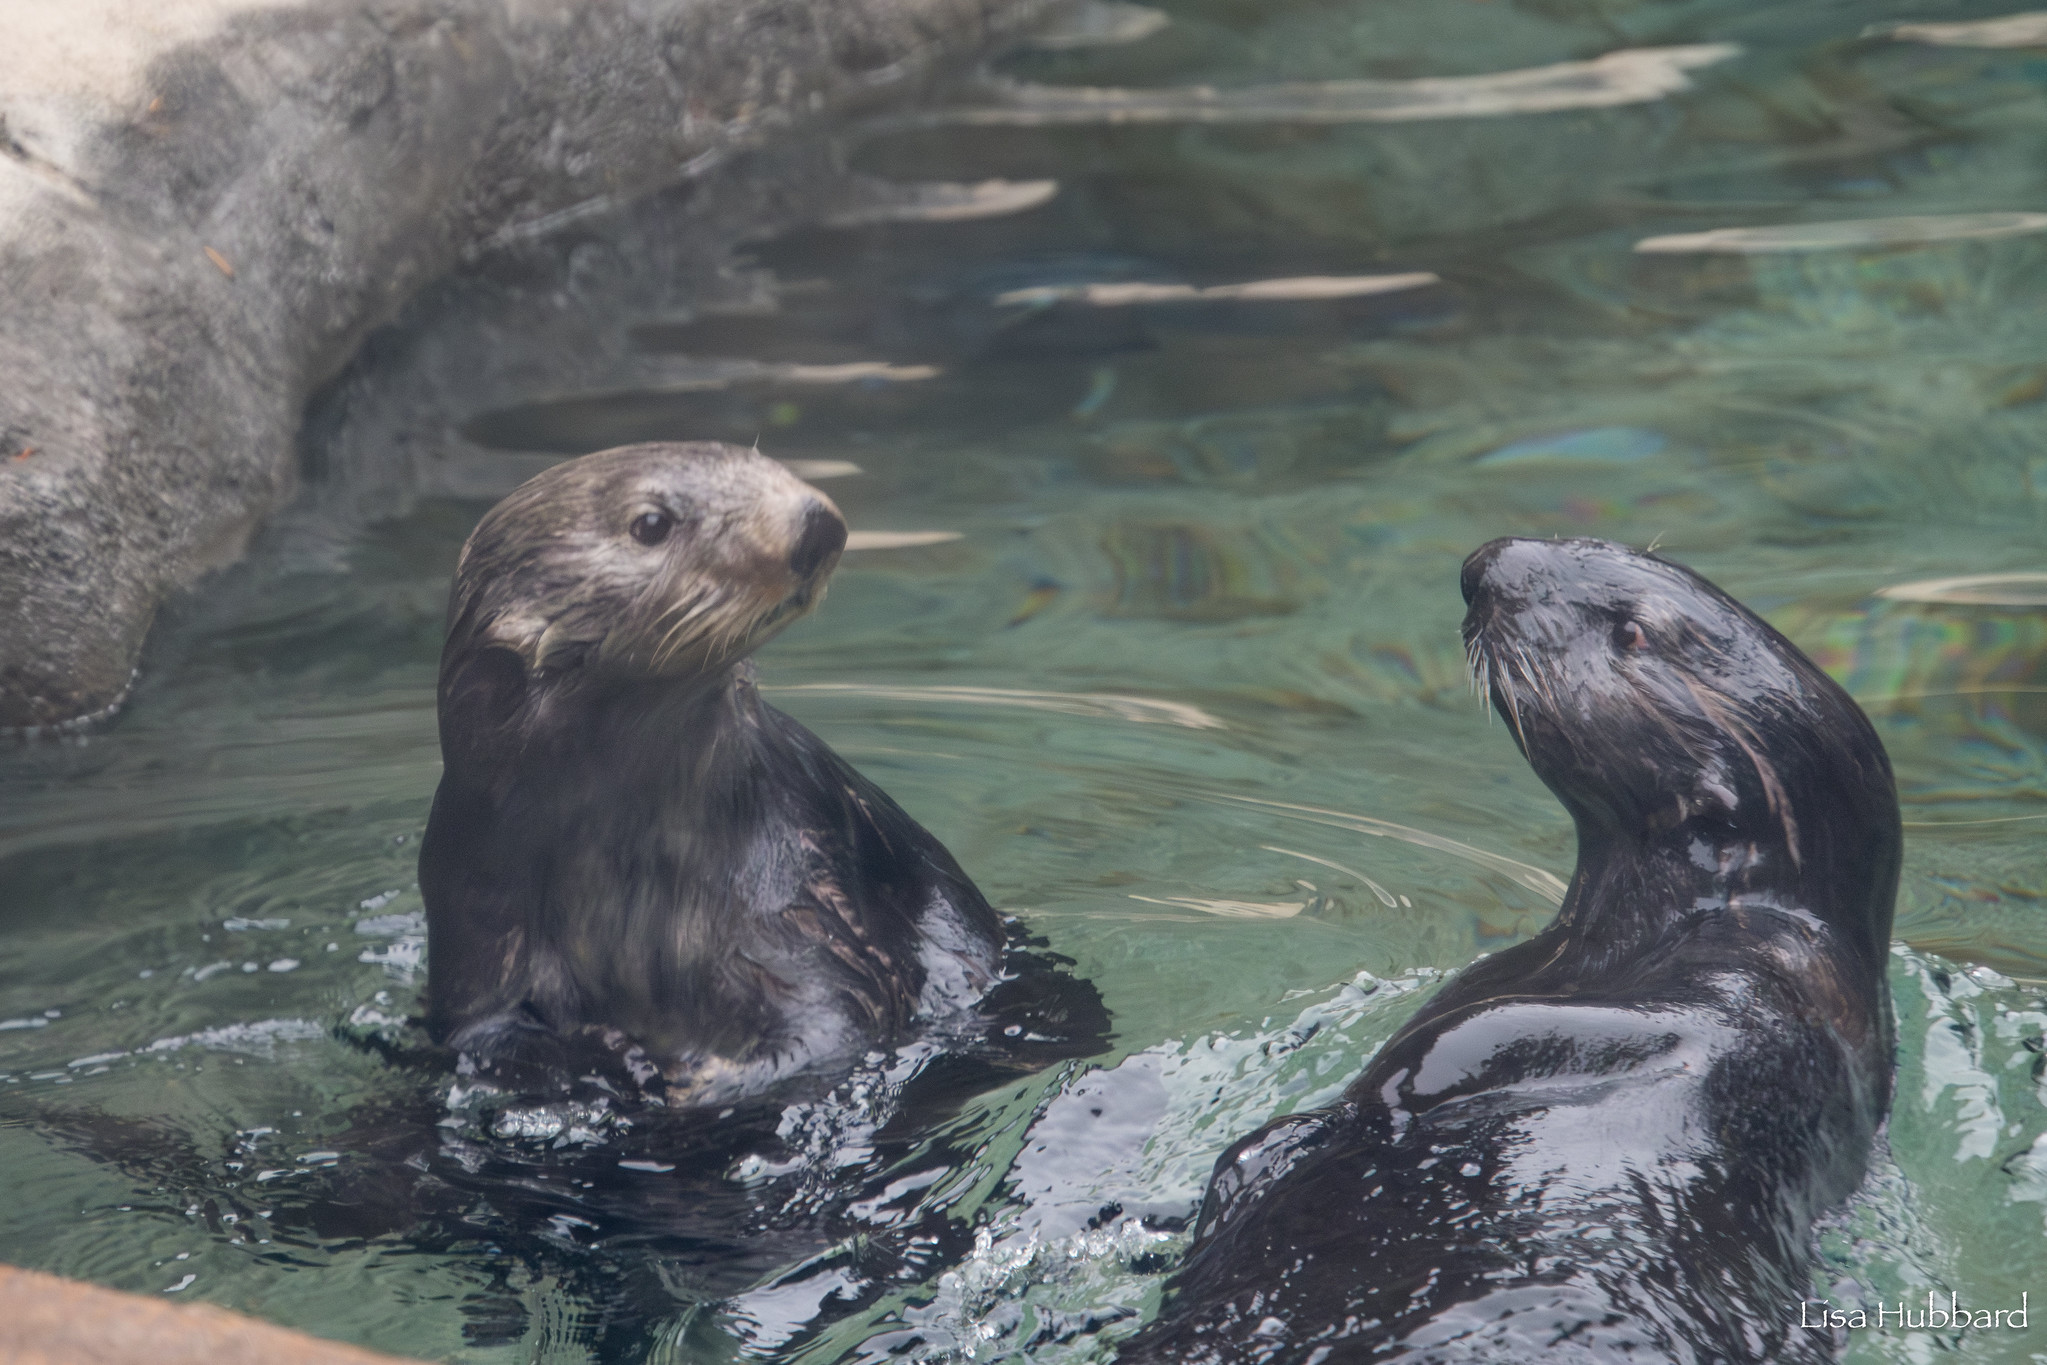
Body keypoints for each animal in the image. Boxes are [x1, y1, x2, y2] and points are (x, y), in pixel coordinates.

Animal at [420, 441, 1080, 1105]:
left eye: (769, 464)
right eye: (651, 523)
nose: (817, 522)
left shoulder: (788, 887)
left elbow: (837, 1009)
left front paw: (703, 1079)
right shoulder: (471, 906)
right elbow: (483, 1031)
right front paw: (608, 1059)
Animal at [1120, 537, 1899, 1364]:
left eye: (1631, 631)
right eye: (1625, 550)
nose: (1487, 563)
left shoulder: (1756, 990)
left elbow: (1537, 1029)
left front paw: (1396, 1085)